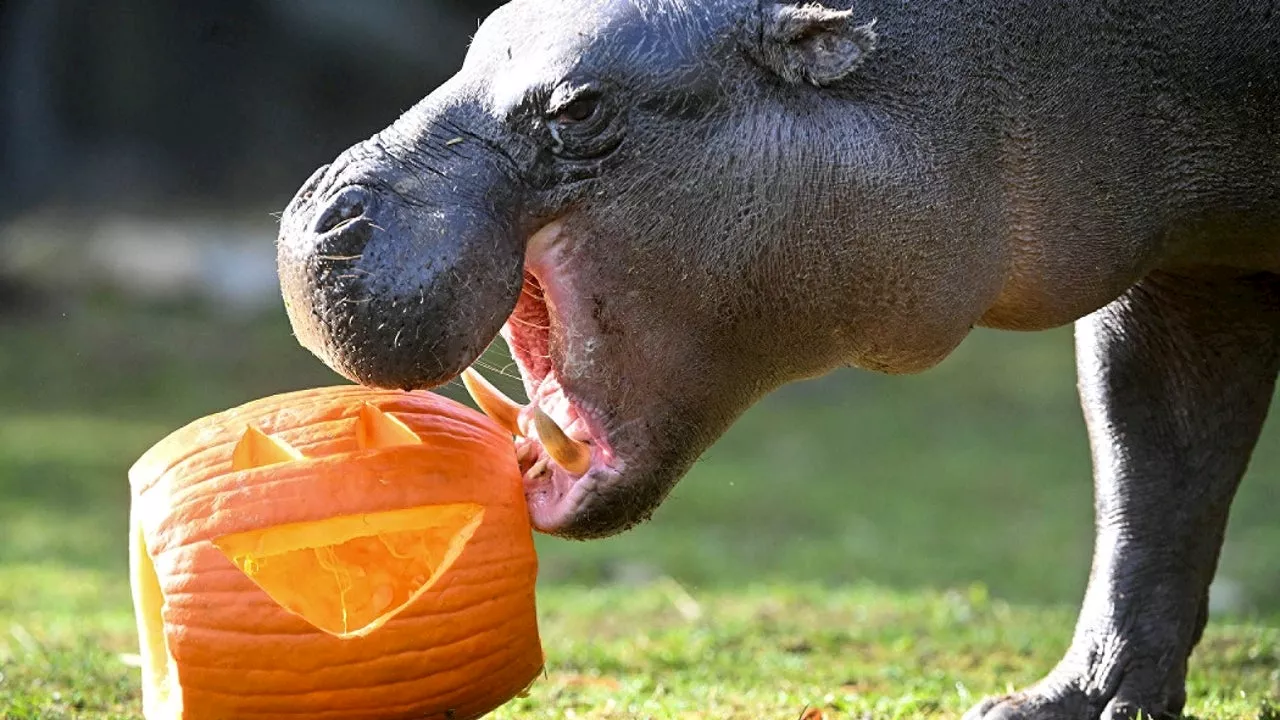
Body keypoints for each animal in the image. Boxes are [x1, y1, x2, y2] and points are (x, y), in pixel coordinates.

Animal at [275, 2, 1280, 712]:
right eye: (484, 29)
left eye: (580, 107)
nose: (314, 218)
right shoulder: (1191, 270)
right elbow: (1153, 469)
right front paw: (1068, 704)